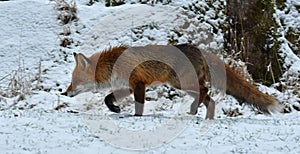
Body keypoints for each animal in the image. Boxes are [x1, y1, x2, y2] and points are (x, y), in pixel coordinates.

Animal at [62, 44, 282, 118]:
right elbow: (107, 99)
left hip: (181, 83)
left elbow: (139, 104)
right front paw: (115, 109)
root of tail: (197, 48)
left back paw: (193, 110)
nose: (65, 92)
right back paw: (206, 117)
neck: (112, 65)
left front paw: (136, 116)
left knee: (205, 92)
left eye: (75, 80)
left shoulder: (138, 83)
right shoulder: (127, 86)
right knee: (210, 99)